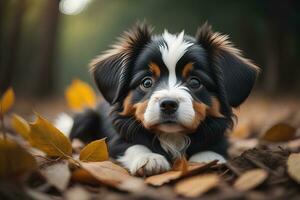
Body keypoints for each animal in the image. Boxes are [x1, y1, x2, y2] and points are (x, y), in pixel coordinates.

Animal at [58, 22, 258, 177]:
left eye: (195, 82)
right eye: (146, 82)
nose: (168, 104)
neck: (172, 135)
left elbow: (214, 146)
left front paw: (206, 158)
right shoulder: (117, 140)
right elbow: (132, 145)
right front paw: (149, 158)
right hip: (86, 117)